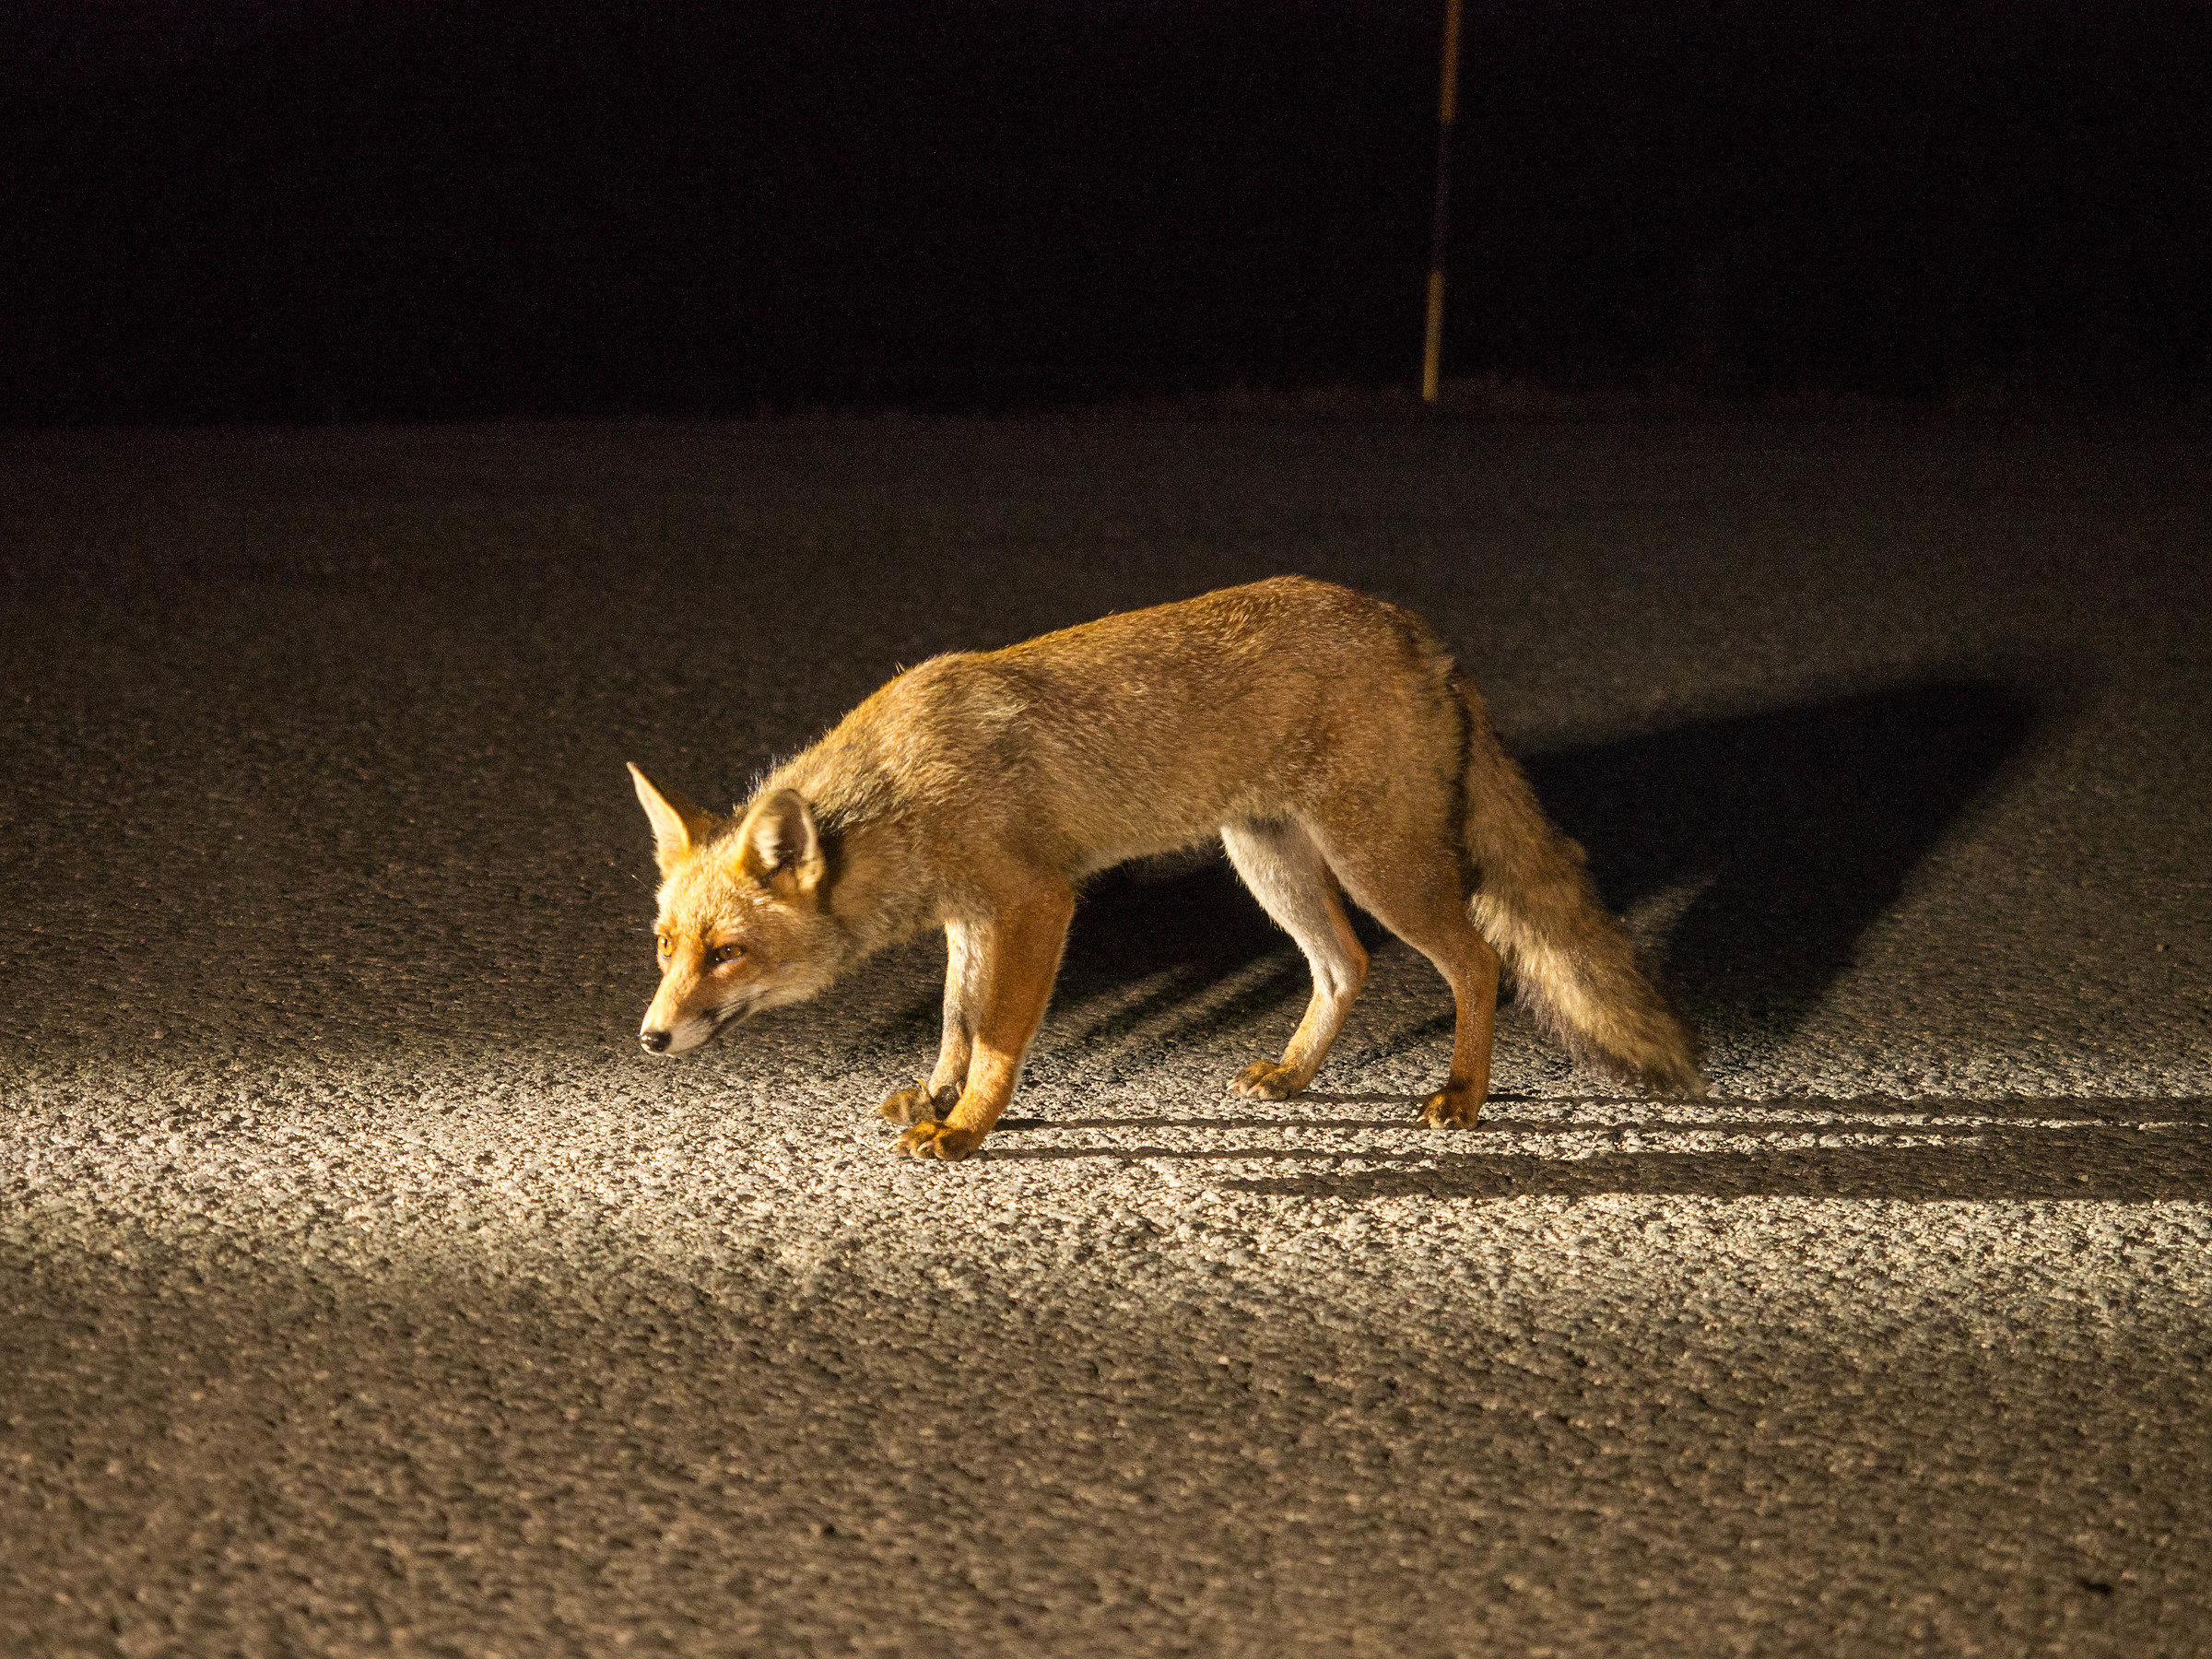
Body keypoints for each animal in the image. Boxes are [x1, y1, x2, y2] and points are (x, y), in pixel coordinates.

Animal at [631, 575, 1704, 1160]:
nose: (648, 1038)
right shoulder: (970, 916)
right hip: (1267, 859)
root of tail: (1417, 629)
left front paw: (967, 1127)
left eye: (727, 953)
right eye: (665, 945)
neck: (902, 790)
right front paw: (936, 1096)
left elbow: (998, 1038)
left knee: (1478, 961)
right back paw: (1297, 1073)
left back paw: (1465, 1096)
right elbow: (954, 1020)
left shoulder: (1036, 903)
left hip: (1379, 865)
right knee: (1346, 965)